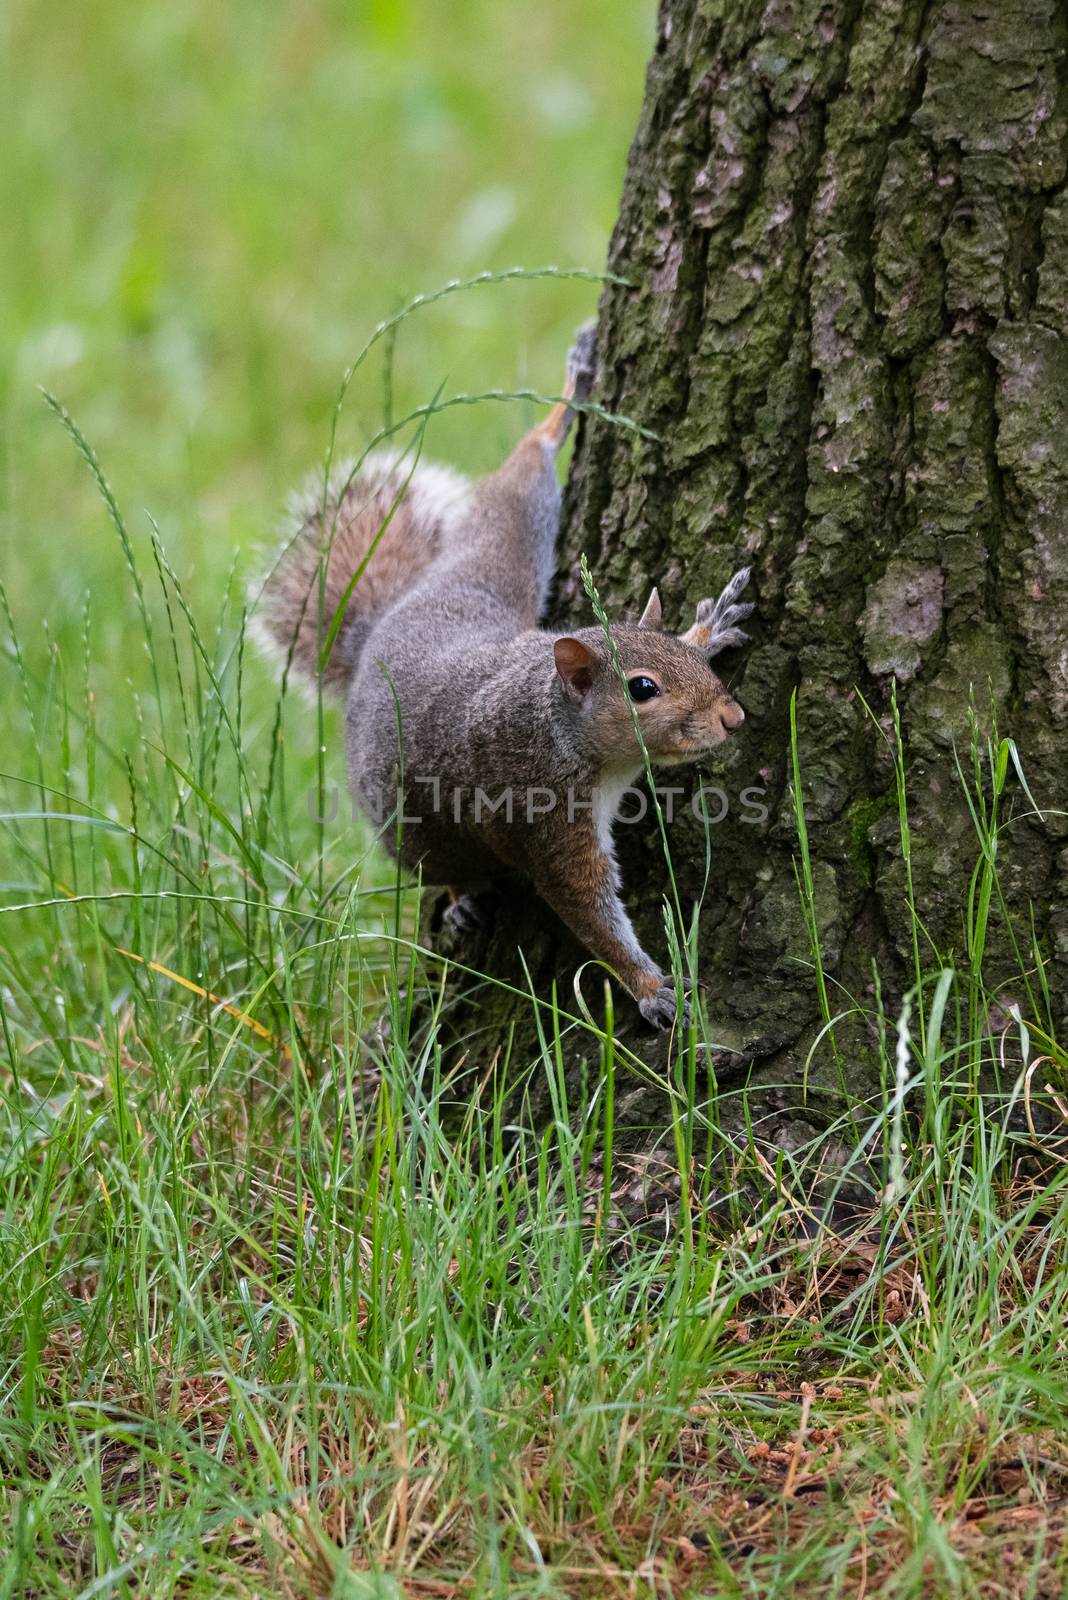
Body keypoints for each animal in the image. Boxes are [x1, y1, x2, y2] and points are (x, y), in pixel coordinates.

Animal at [260, 328, 751, 1024]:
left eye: (669, 649)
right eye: (642, 689)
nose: (732, 718)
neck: (556, 724)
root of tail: (376, 634)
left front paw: (709, 627)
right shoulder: (542, 816)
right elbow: (586, 907)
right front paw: (650, 988)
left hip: (488, 570)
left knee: (514, 497)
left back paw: (567, 398)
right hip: (411, 823)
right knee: (436, 866)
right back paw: (461, 900)